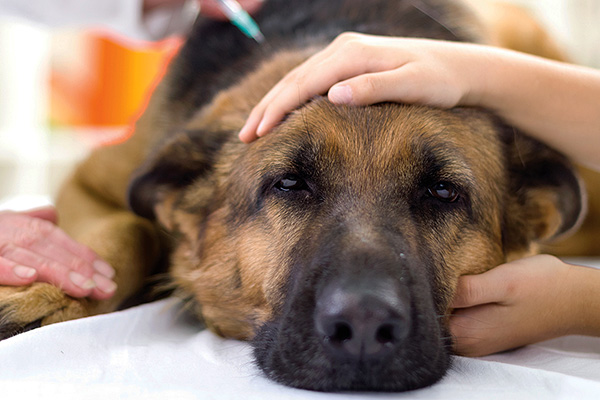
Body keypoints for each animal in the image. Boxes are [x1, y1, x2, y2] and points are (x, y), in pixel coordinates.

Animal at [0, 0, 592, 394]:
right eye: (288, 183)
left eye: (442, 191)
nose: (363, 327)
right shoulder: (90, 182)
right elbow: (128, 229)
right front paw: (51, 291)